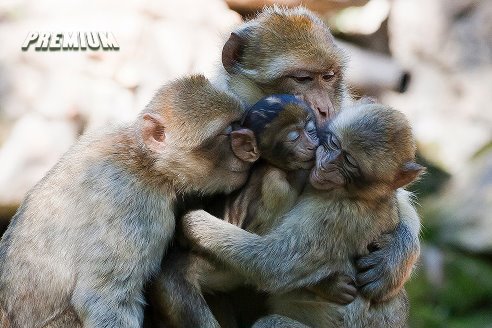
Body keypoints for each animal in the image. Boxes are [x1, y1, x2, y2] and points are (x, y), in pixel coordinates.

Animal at [0, 75, 260, 328]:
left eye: (240, 123)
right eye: (228, 130)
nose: (249, 149)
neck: (148, 164)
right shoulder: (133, 205)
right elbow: (105, 300)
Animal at [183, 102, 424, 328]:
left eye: (349, 162)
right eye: (334, 143)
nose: (326, 164)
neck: (360, 196)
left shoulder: (336, 217)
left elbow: (272, 265)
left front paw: (192, 222)